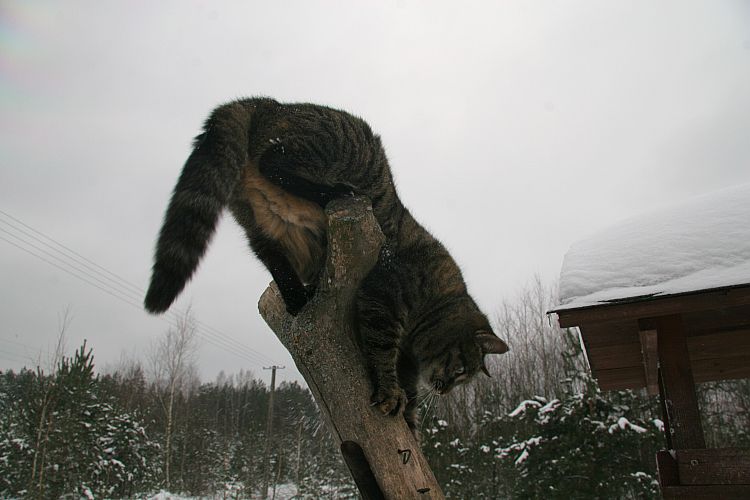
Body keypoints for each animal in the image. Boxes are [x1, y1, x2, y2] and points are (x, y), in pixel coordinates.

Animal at [145, 97, 509, 434]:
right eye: (461, 371)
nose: (445, 389)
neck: (434, 298)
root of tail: (268, 103)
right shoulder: (382, 295)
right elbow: (382, 351)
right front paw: (392, 394)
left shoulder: (407, 357)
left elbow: (409, 387)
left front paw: (410, 418)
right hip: (334, 149)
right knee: (273, 161)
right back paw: (335, 191)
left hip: (263, 229)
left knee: (278, 264)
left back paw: (300, 299)